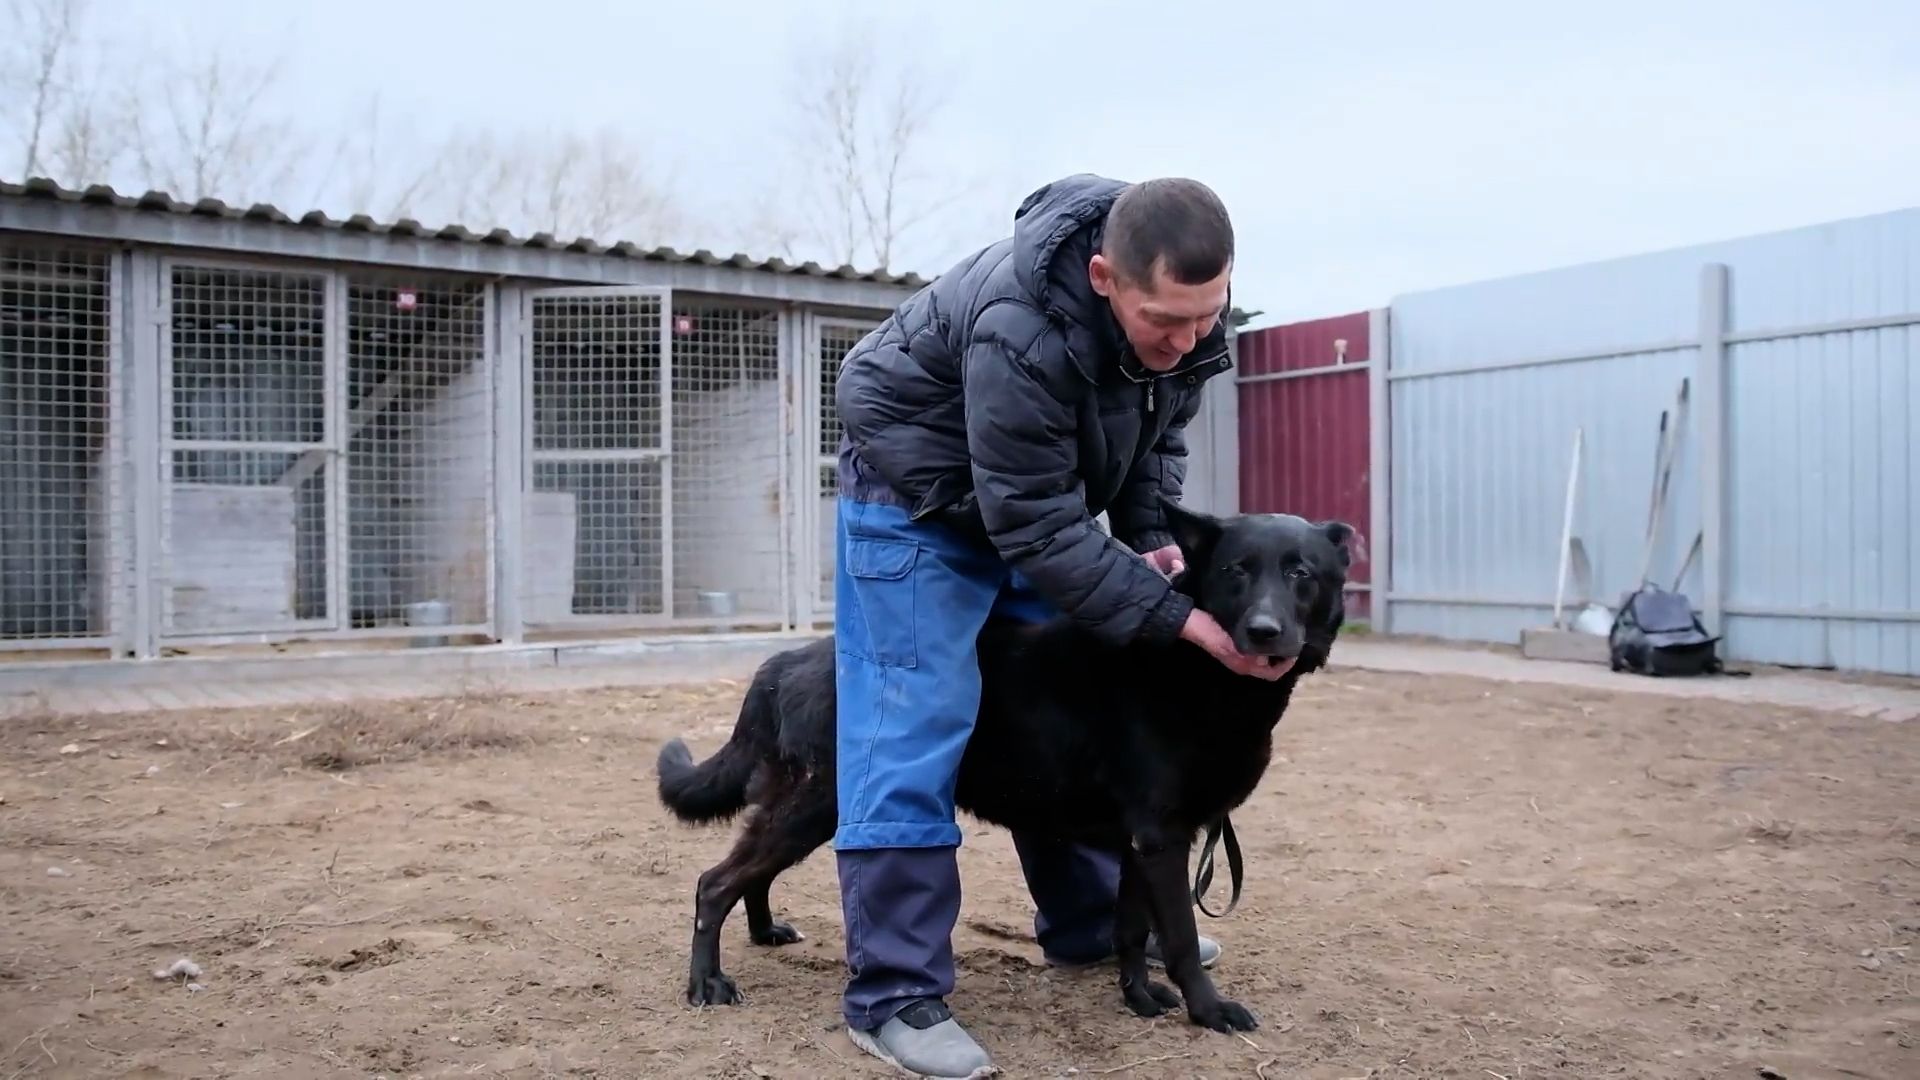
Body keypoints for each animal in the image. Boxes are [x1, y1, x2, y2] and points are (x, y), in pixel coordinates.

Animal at [660, 499, 1351, 1030]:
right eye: (1236, 571)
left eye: (1301, 573)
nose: (1264, 632)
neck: (1197, 672)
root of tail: (783, 664)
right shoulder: (1162, 839)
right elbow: (1178, 937)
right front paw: (1207, 1011)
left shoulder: (1140, 844)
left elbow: (1130, 930)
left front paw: (1139, 997)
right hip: (820, 804)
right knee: (714, 882)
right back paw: (708, 983)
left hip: (806, 808)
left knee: (748, 874)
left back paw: (764, 933)